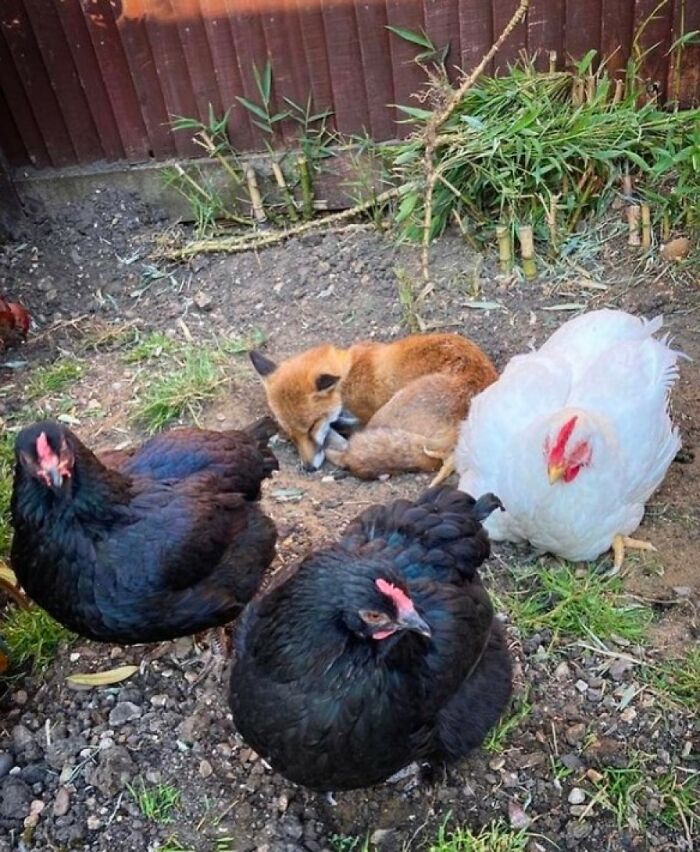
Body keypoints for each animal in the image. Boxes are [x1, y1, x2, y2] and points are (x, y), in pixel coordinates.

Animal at [249, 332, 497, 482]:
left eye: (312, 427)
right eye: (291, 434)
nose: (309, 468)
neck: (348, 375)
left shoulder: (365, 417)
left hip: (386, 415)